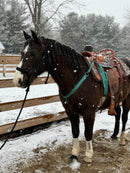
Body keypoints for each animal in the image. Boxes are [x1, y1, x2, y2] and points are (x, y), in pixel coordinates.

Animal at [13, 30, 130, 164]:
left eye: (31, 53)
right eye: (22, 53)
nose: (17, 80)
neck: (77, 76)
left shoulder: (89, 112)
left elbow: (88, 133)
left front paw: (88, 155)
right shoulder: (70, 111)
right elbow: (75, 132)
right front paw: (74, 154)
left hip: (127, 100)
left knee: (124, 117)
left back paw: (122, 140)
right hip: (116, 100)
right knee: (117, 114)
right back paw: (114, 135)